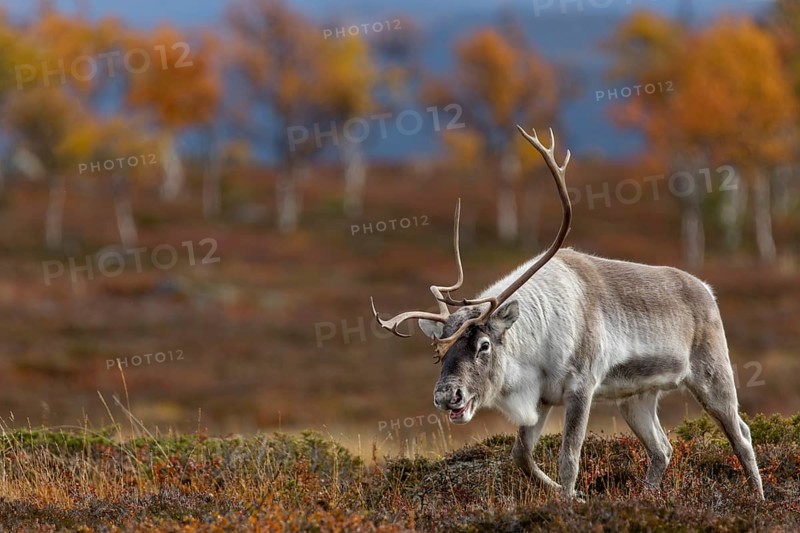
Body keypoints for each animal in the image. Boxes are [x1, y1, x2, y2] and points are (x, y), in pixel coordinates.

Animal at [370, 125, 764, 500]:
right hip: (636, 397)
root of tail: (708, 291)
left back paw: (758, 498)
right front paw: (573, 495)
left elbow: (569, 459)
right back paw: (648, 497)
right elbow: (521, 456)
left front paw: (569, 499)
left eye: (483, 345)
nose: (446, 395)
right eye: (439, 354)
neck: (534, 344)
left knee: (741, 435)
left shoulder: (581, 386)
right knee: (662, 449)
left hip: (712, 373)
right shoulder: (542, 397)